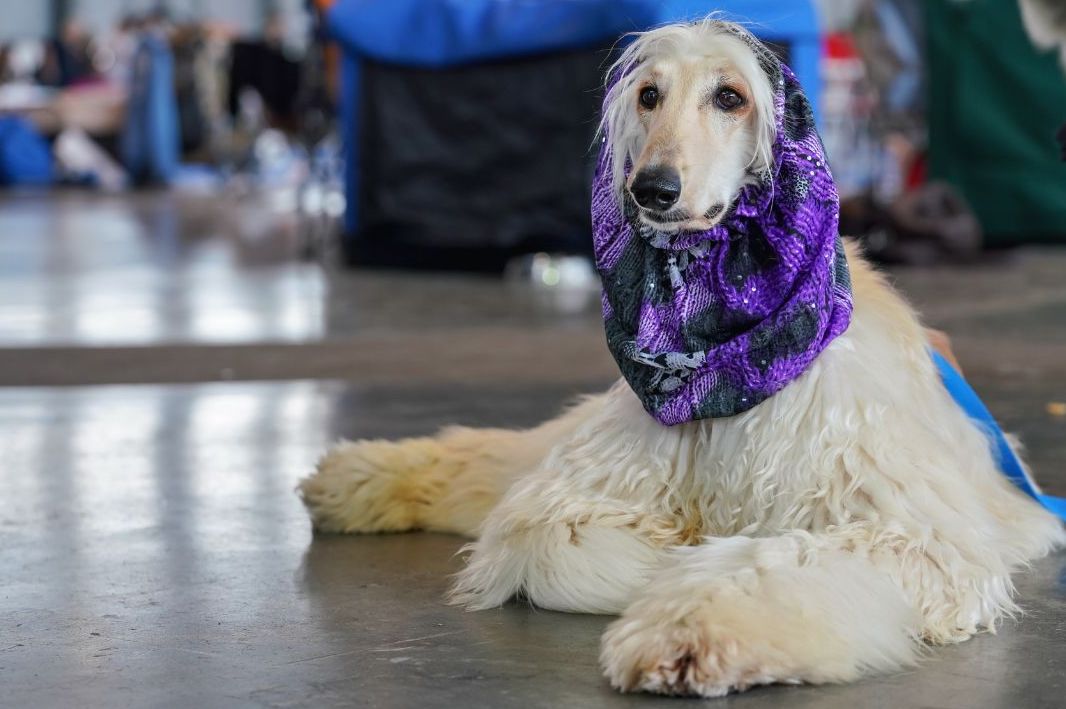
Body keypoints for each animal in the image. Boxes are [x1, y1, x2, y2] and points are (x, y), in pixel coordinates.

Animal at [302, 19, 1066, 699]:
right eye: (649, 95)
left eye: (730, 96)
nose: (653, 188)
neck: (720, 359)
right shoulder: (589, 482)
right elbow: (544, 535)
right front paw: (669, 553)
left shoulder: (913, 529)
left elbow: (774, 558)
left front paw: (689, 625)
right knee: (494, 456)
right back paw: (351, 478)